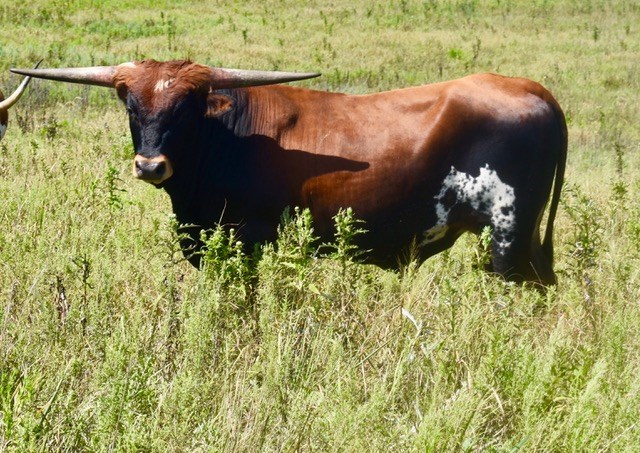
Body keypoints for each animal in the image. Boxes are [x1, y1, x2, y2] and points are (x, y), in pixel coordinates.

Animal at [12, 59, 567, 285]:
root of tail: (532, 89)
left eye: (186, 109)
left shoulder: (249, 239)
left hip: (508, 238)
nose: (150, 165)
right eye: (132, 106)